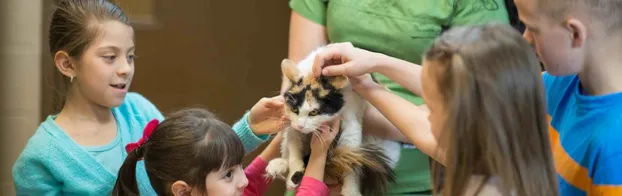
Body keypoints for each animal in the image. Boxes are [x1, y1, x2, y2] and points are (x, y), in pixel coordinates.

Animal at [266, 47, 402, 196]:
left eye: (314, 112)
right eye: (294, 109)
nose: (300, 126)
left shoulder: (351, 125)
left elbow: (351, 159)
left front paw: (351, 190)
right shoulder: (292, 127)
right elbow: (294, 152)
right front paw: (293, 174)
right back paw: (279, 164)